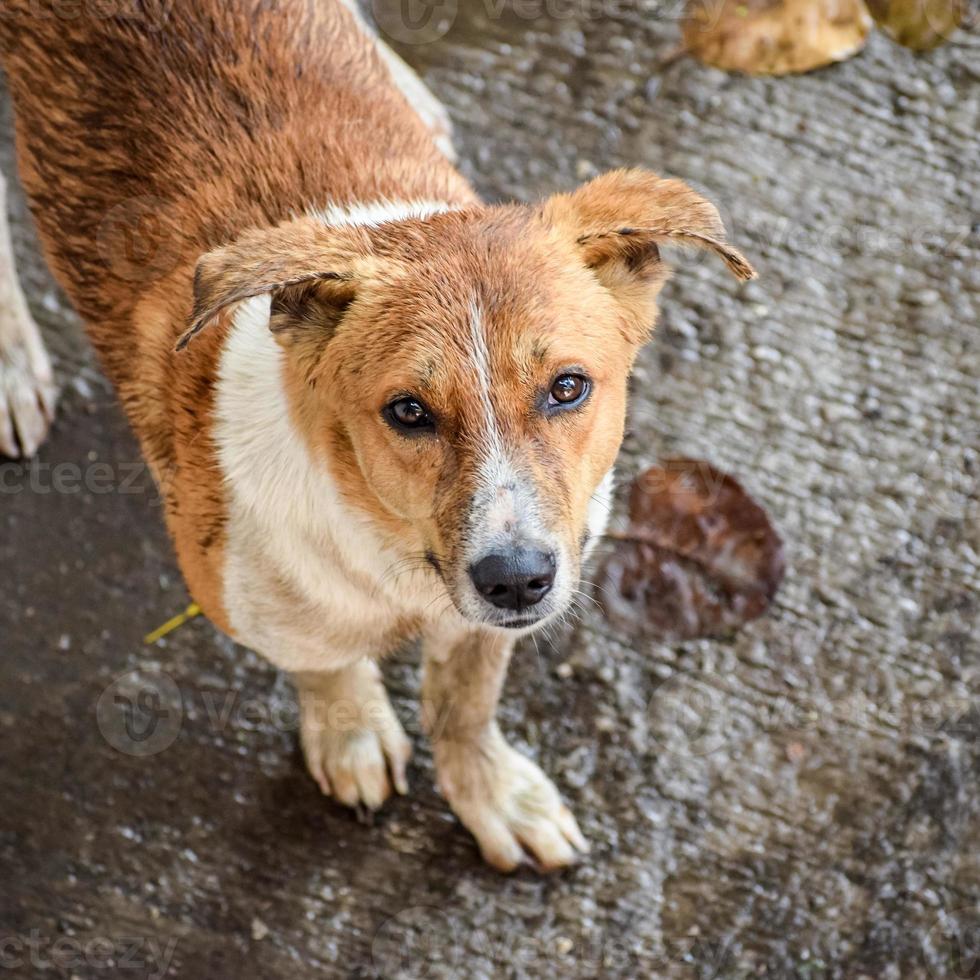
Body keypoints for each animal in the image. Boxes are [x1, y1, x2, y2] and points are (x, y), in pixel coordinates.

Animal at [0, 0, 752, 872]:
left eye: (568, 387)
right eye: (408, 412)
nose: (517, 581)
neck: (387, 549)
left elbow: (466, 700)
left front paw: (491, 791)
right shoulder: (253, 602)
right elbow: (326, 666)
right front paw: (352, 734)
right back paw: (10, 361)